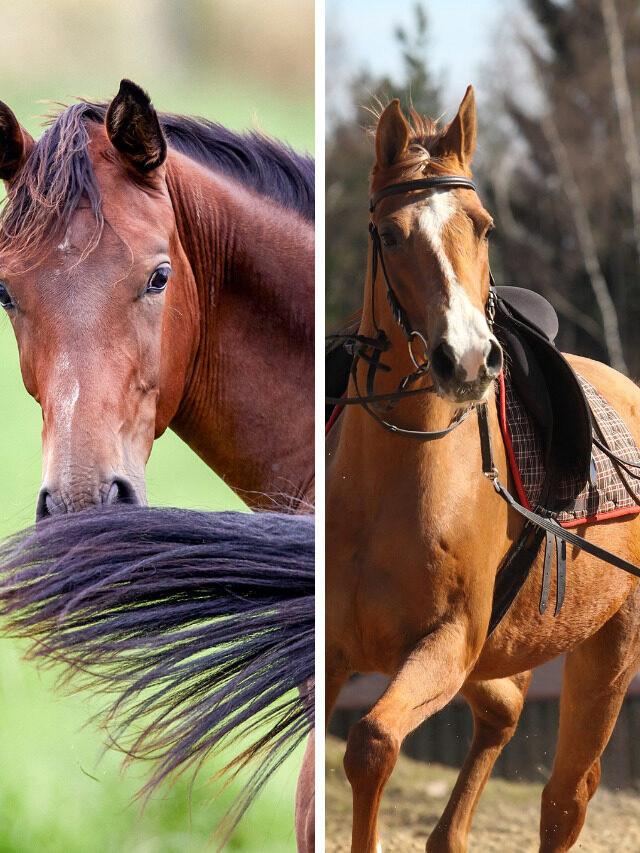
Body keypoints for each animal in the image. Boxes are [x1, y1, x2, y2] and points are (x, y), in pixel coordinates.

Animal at [325, 86, 640, 853]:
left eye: (483, 227)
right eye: (390, 234)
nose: (467, 359)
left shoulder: (446, 643)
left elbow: (371, 743)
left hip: (607, 652)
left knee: (565, 799)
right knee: (501, 713)